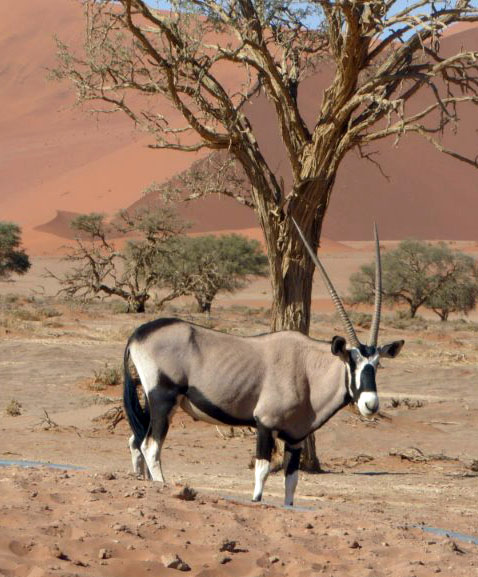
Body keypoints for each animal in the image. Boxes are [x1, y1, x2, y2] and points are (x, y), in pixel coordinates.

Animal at [123, 220, 404, 504]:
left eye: (377, 365)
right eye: (351, 362)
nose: (371, 404)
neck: (307, 370)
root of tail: (138, 334)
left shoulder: (296, 437)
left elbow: (291, 481)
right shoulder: (265, 424)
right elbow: (262, 471)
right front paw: (256, 500)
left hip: (155, 402)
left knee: (136, 441)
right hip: (162, 399)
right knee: (151, 446)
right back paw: (161, 485)